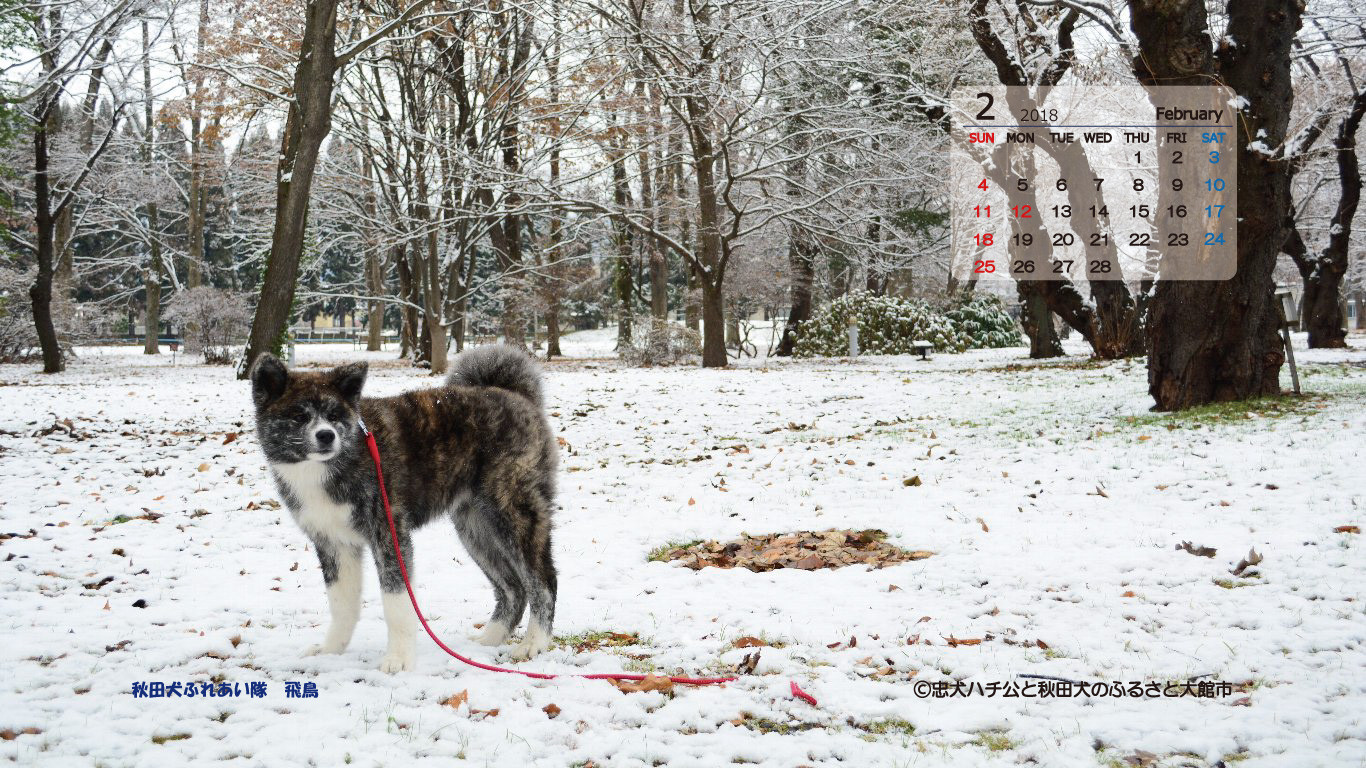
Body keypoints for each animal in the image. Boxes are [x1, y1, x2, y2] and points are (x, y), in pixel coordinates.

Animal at [248, 341, 557, 669]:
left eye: (334, 415)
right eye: (299, 416)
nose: (326, 435)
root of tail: (516, 395)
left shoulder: (389, 534)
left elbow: (396, 603)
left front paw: (398, 658)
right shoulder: (334, 543)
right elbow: (342, 604)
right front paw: (331, 650)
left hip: (513, 512)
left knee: (543, 581)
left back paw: (534, 642)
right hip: (475, 528)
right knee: (513, 589)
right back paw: (490, 639)